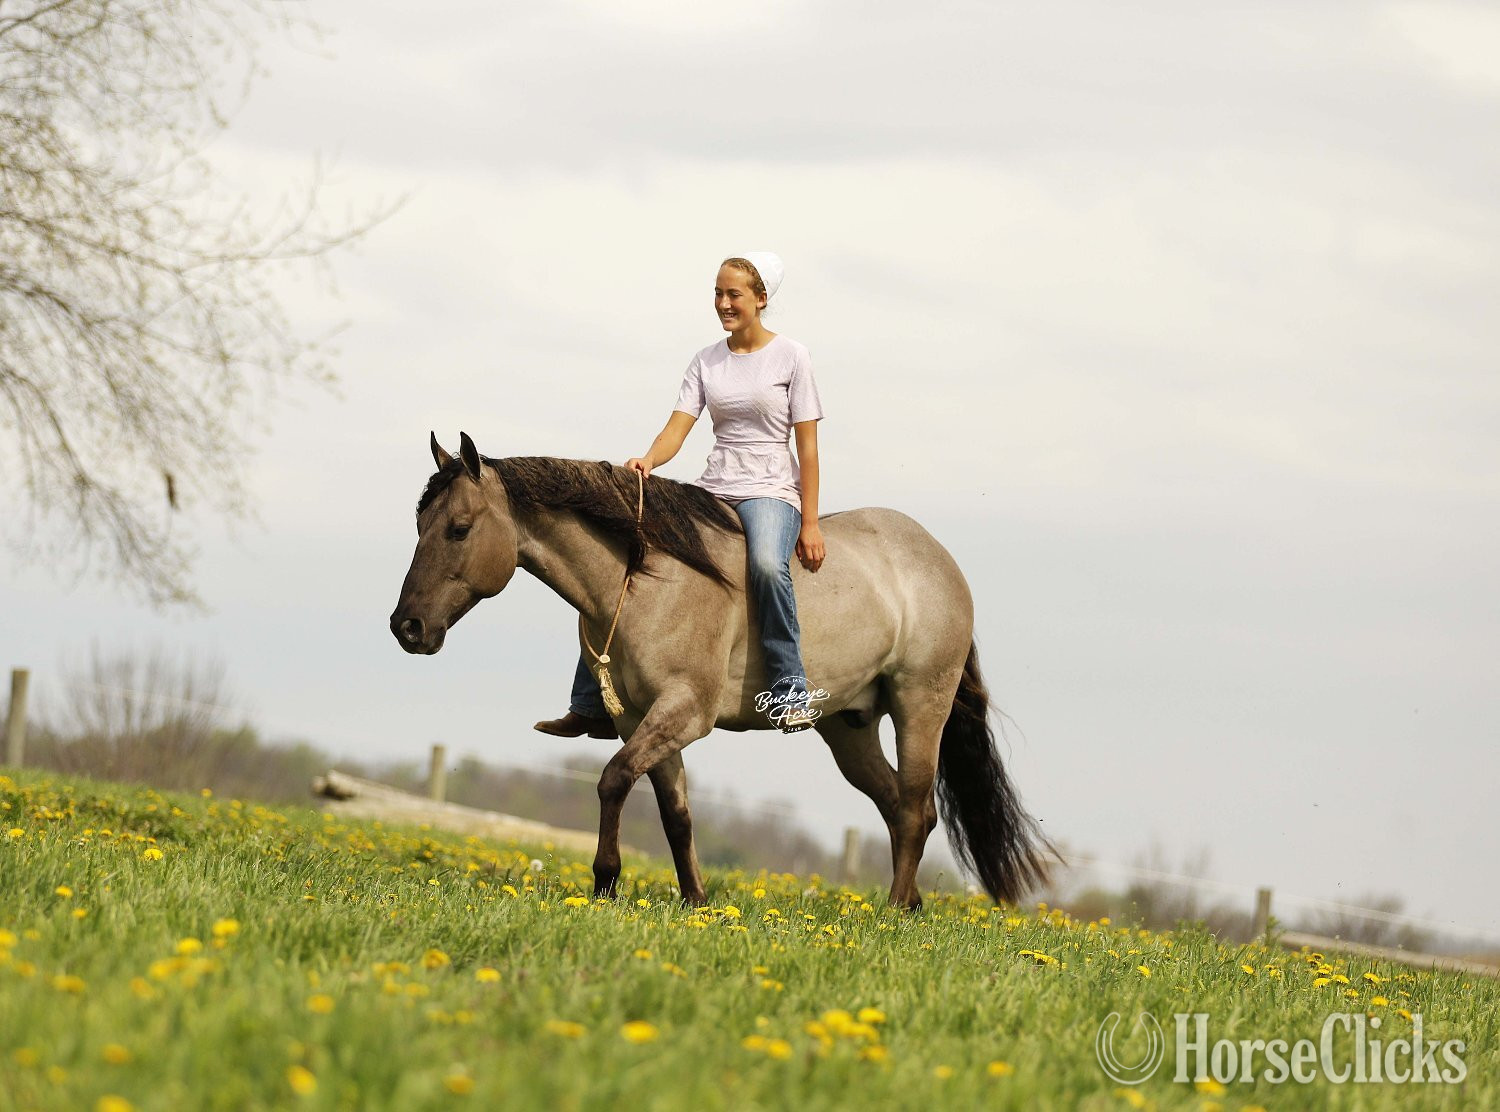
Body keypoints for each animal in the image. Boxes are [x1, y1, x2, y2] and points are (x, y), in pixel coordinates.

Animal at [389, 432, 1054, 910]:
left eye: (459, 528)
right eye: (419, 525)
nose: (407, 627)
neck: (649, 578)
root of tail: (942, 563)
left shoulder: (684, 711)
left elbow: (613, 778)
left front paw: (606, 882)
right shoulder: (641, 719)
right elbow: (675, 813)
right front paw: (695, 900)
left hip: (921, 707)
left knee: (916, 809)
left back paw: (893, 911)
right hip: (849, 727)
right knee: (894, 806)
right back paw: (909, 904)